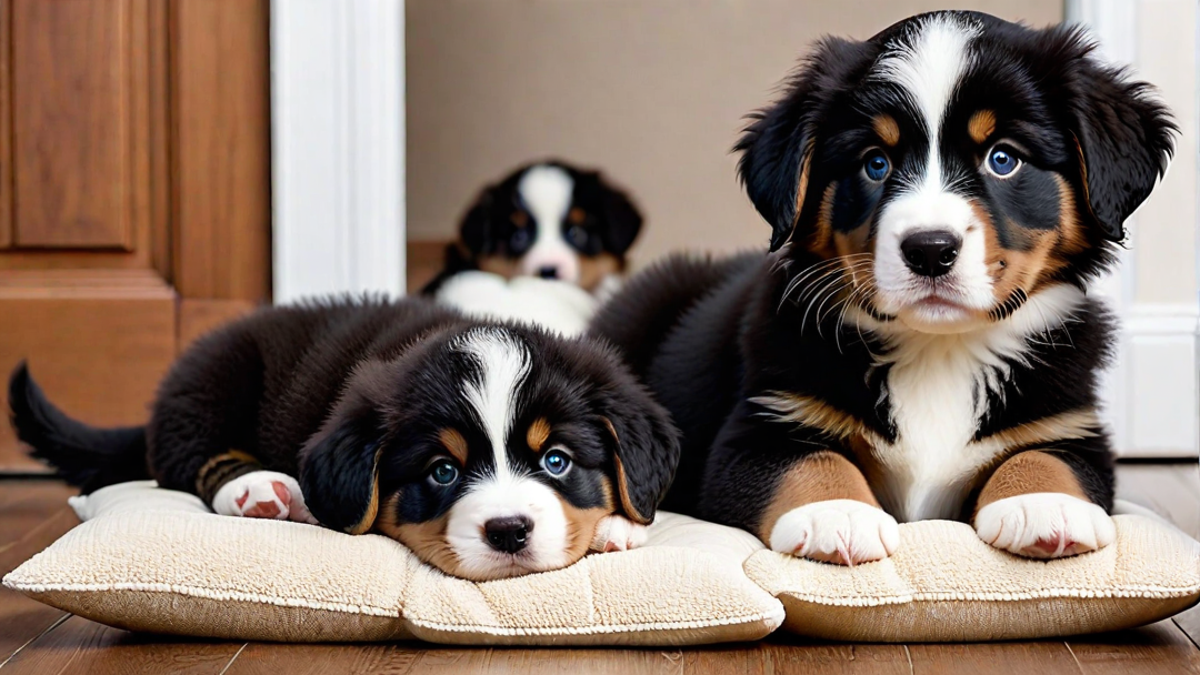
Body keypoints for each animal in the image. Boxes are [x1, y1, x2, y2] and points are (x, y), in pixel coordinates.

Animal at [9, 296, 681, 581]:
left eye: (557, 460)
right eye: (442, 471)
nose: (509, 531)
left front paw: (620, 526)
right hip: (211, 385)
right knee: (195, 459)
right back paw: (264, 492)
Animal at [595, 13, 1176, 564]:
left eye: (1003, 158)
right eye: (876, 162)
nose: (930, 249)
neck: (940, 351)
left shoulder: (1070, 426)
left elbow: (1046, 457)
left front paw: (1044, 505)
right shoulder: (759, 427)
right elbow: (811, 460)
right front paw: (836, 514)